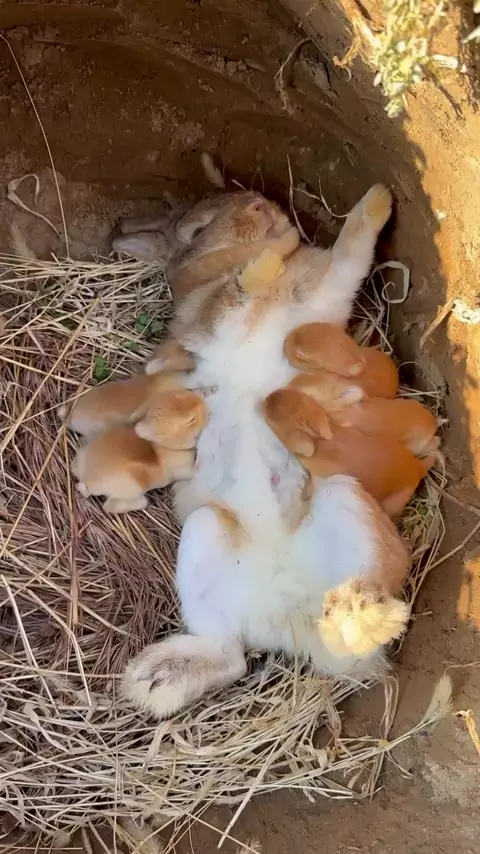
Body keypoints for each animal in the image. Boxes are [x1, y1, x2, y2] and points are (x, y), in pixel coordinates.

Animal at [122, 183, 410, 720]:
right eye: (197, 229)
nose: (260, 206)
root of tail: (288, 611)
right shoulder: (215, 318)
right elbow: (234, 296)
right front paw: (267, 261)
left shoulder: (322, 298)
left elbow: (350, 253)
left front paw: (377, 199)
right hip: (206, 535)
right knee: (230, 655)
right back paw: (154, 680)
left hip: (343, 503)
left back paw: (359, 615)